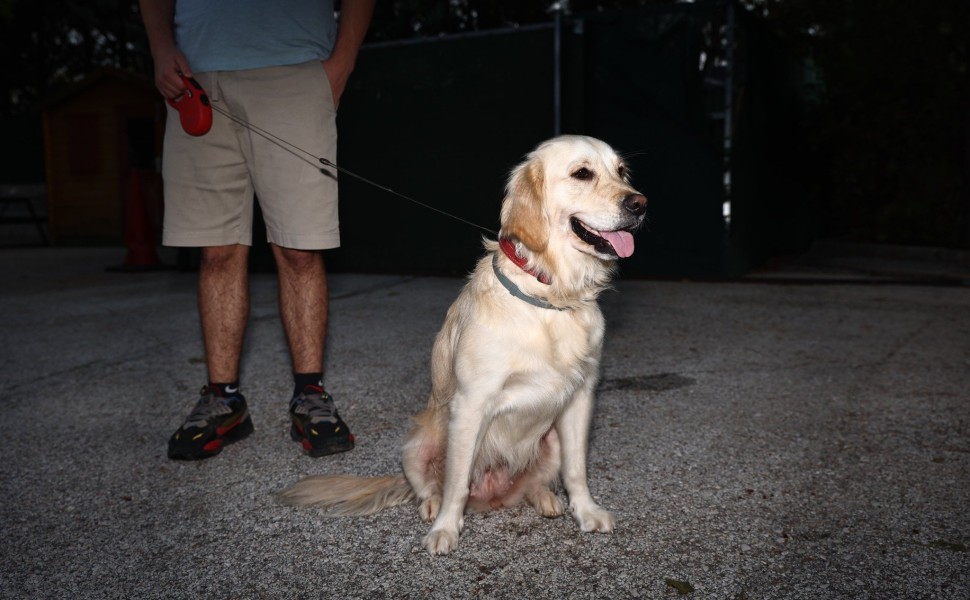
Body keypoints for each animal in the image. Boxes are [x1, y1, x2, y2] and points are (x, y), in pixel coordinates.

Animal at [276, 135, 648, 552]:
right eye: (582, 173)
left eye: (621, 171)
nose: (640, 204)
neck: (550, 296)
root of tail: (495, 497)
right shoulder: (471, 404)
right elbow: (456, 484)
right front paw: (445, 529)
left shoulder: (580, 398)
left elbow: (576, 469)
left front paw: (585, 511)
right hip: (416, 445)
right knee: (430, 487)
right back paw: (431, 507)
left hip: (547, 440)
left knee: (534, 483)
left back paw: (544, 498)